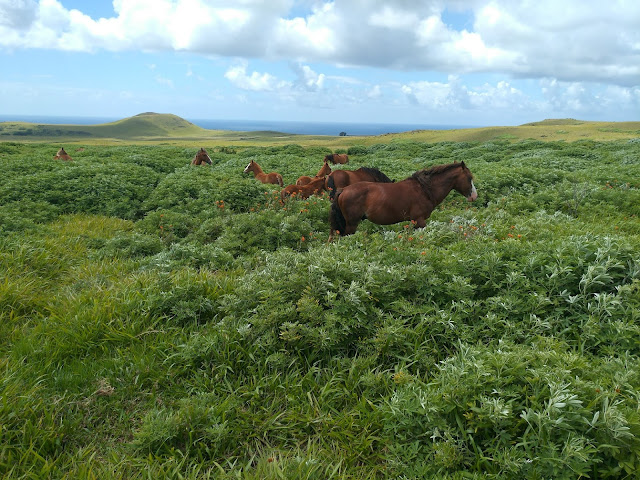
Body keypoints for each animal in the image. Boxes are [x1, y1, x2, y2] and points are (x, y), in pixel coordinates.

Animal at [332, 162, 478, 240]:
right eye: (469, 177)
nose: (474, 196)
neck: (424, 189)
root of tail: (343, 190)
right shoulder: (419, 221)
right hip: (351, 225)